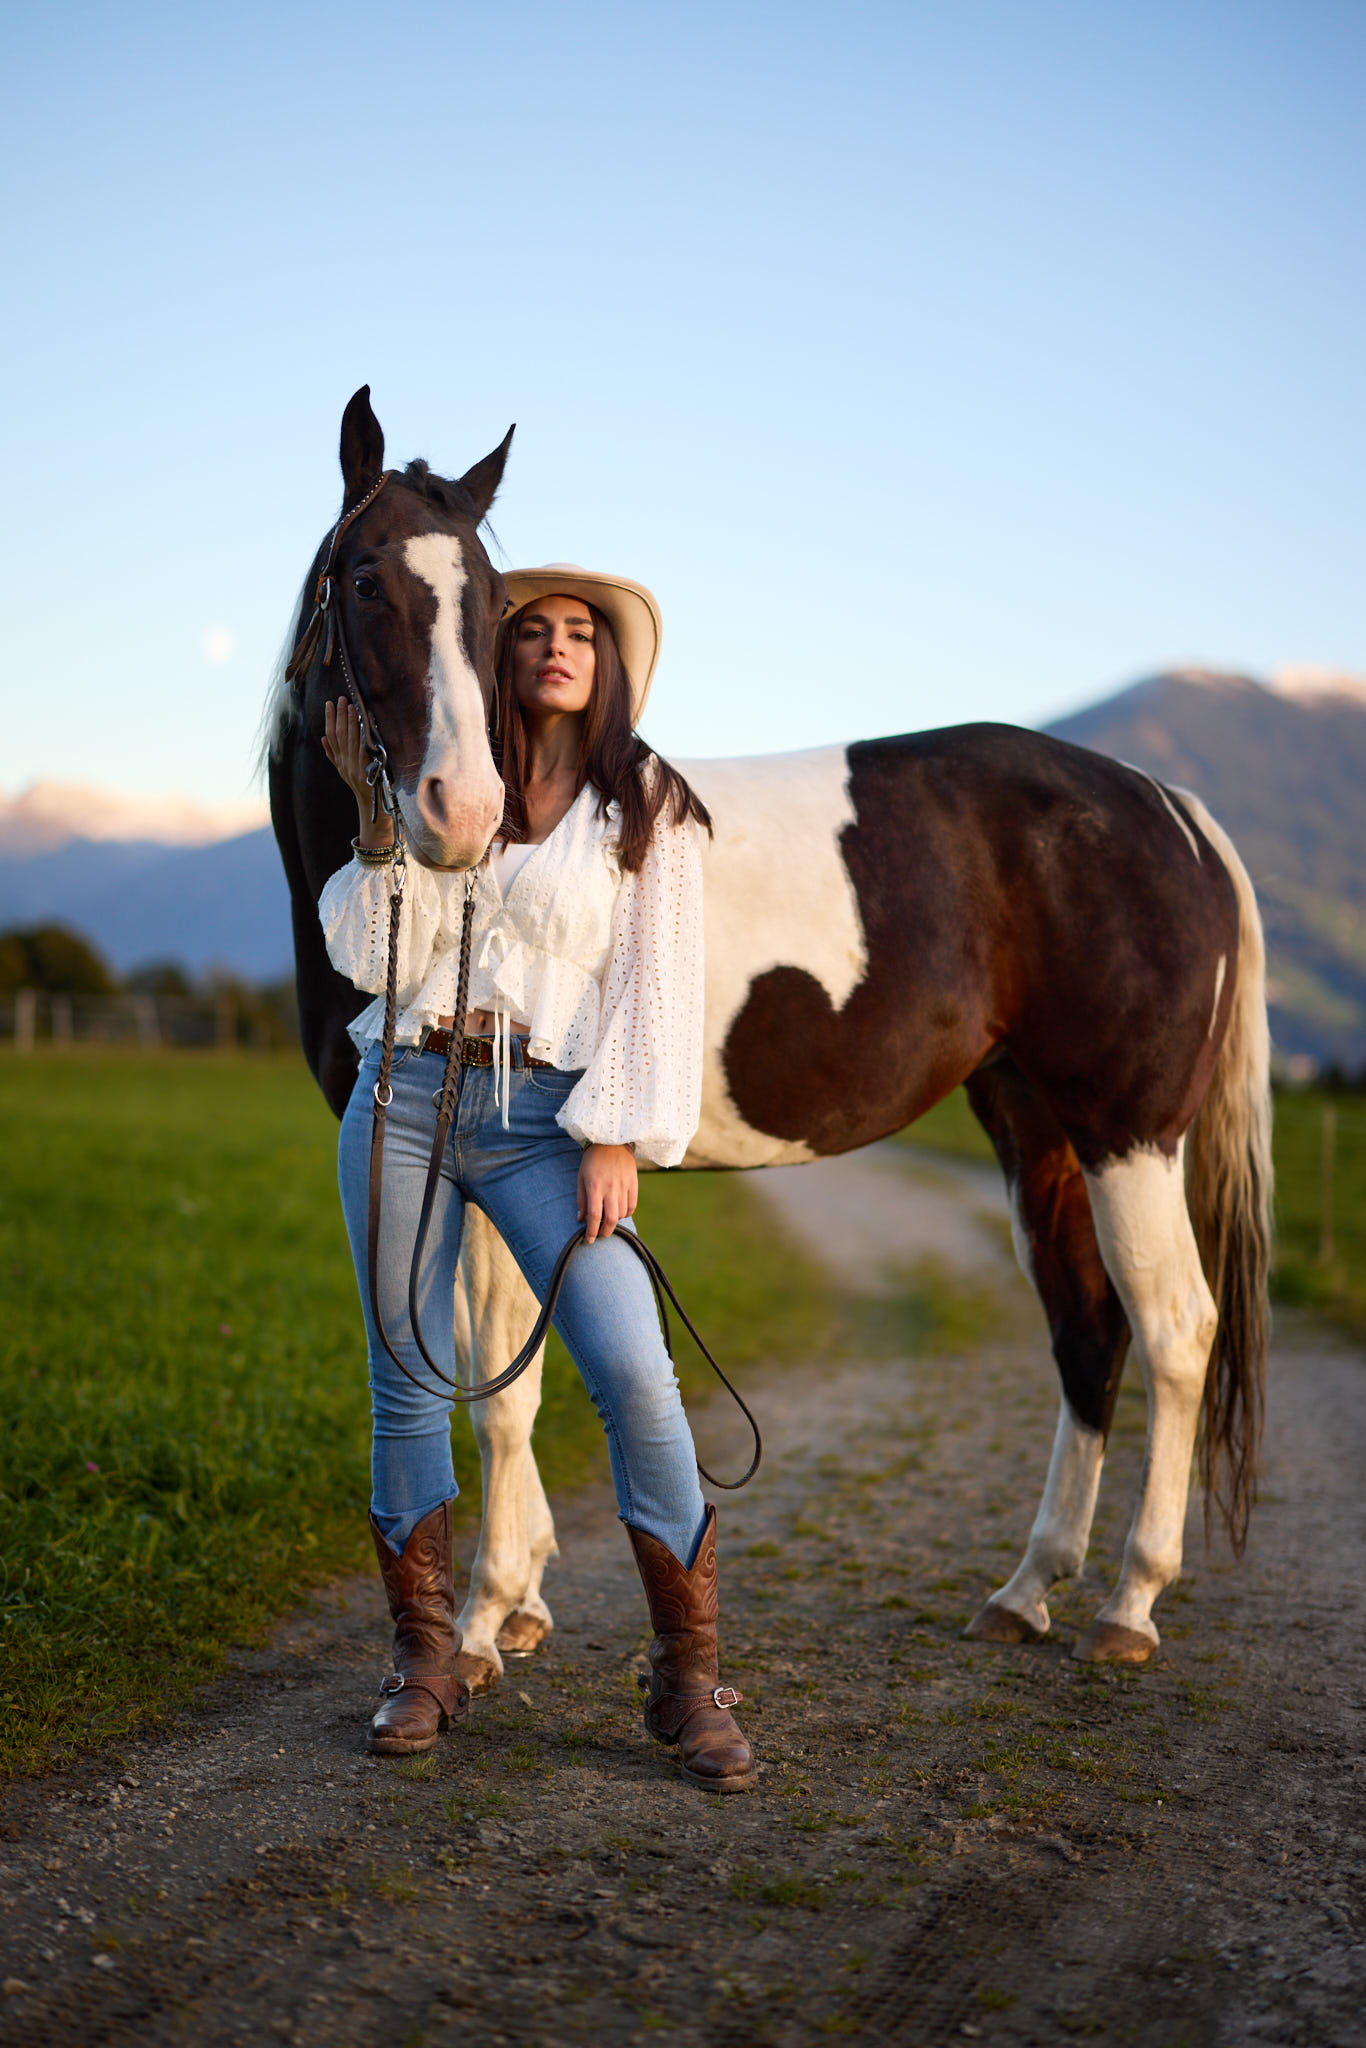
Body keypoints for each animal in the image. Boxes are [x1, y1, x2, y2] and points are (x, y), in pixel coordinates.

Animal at [267, 387, 1272, 1693]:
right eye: (368, 580)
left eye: (489, 602)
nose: (462, 813)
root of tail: (1170, 807)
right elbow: (508, 1375)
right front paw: (521, 1598)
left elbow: (498, 1391)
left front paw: (487, 1621)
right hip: (1035, 1127)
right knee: (1086, 1329)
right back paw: (1029, 1587)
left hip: (1128, 1134)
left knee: (1175, 1329)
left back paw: (1130, 1602)